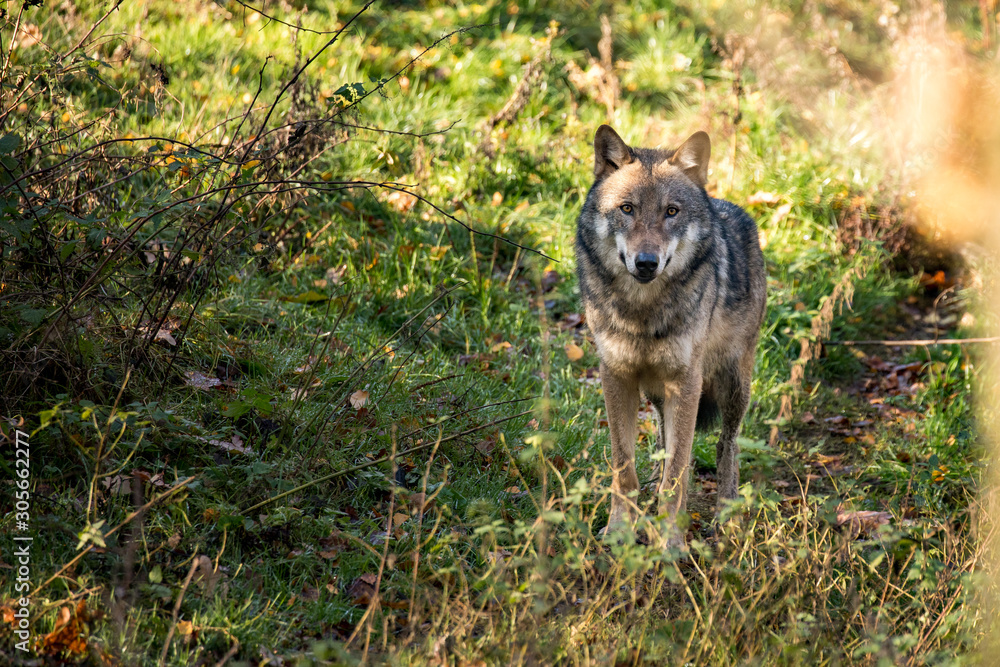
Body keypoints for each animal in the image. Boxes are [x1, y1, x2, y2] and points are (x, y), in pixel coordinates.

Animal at [575, 125, 766, 540]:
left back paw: (726, 518)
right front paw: (620, 529)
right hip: (659, 395)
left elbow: (677, 473)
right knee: (669, 448)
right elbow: (624, 463)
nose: (646, 262)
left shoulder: (686, 381)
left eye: (671, 212)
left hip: (731, 384)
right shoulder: (616, 375)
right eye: (627, 209)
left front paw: (671, 542)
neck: (643, 312)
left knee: (727, 447)